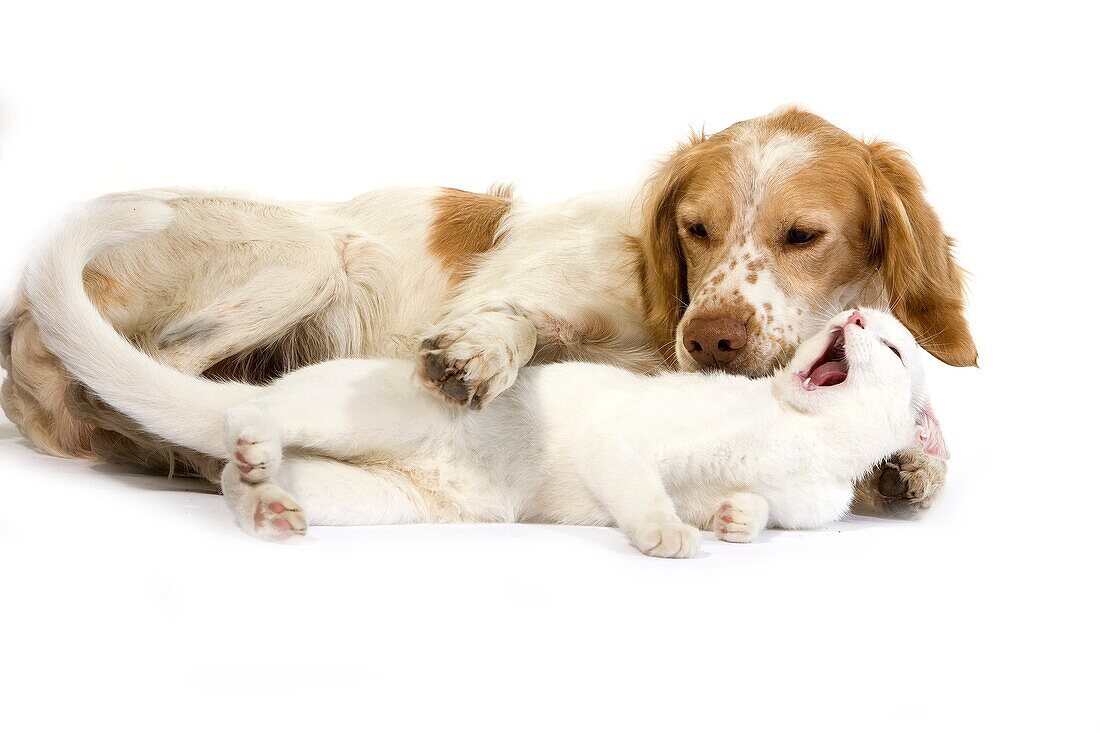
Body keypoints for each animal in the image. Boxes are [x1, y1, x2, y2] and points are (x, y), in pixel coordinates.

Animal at [4, 107, 976, 512]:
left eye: (804, 235)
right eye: (694, 228)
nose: (709, 338)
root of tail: (19, 304)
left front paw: (911, 463)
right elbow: (513, 318)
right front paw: (476, 351)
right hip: (313, 252)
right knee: (147, 380)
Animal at [21, 193, 950, 554]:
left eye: (897, 348)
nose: (856, 319)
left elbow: (749, 509)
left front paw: (731, 520)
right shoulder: (626, 428)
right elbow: (636, 473)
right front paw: (665, 532)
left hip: (376, 496)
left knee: (247, 476)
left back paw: (264, 496)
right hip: (319, 294)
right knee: (236, 405)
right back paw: (242, 441)